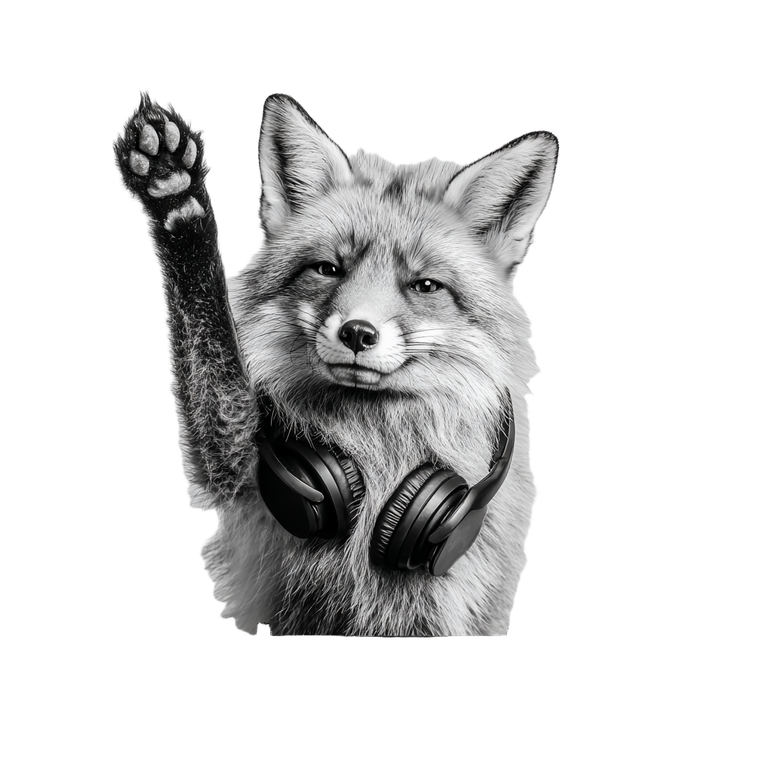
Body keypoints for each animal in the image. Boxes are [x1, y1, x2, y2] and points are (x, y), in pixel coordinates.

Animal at [112, 90, 559, 637]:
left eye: (425, 286)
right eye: (328, 268)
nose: (357, 333)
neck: (376, 438)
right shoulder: (242, 474)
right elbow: (210, 348)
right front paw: (176, 197)